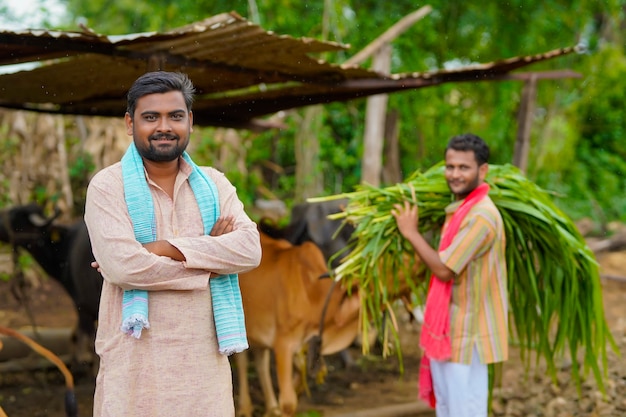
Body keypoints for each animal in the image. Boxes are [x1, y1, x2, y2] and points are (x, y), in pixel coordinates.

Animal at [234, 231, 358, 416]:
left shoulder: (305, 344)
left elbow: (299, 381)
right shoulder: (283, 343)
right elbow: (288, 402)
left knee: (260, 362)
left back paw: (271, 408)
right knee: (242, 361)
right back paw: (245, 408)